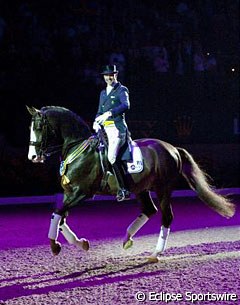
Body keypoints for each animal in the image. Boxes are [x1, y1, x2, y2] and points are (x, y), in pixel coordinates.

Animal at [26, 105, 234, 262]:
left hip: (163, 189)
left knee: (166, 216)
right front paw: (81, 243)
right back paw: (127, 238)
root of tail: (173, 148)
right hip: (142, 188)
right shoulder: (70, 193)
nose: (33, 157)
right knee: (149, 210)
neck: (78, 149)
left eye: (39, 127)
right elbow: (61, 217)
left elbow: (57, 213)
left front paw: (54, 246)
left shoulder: (81, 192)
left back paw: (155, 254)